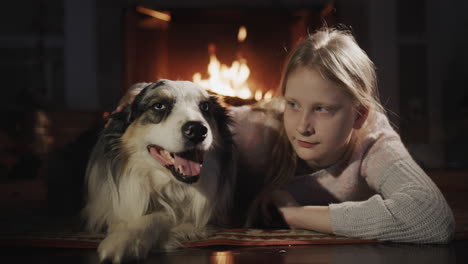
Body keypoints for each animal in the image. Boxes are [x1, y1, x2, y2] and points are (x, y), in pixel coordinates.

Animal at [82, 80, 236, 262]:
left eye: (205, 107)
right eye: (159, 106)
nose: (197, 130)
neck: (171, 186)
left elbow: (161, 215)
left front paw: (124, 239)